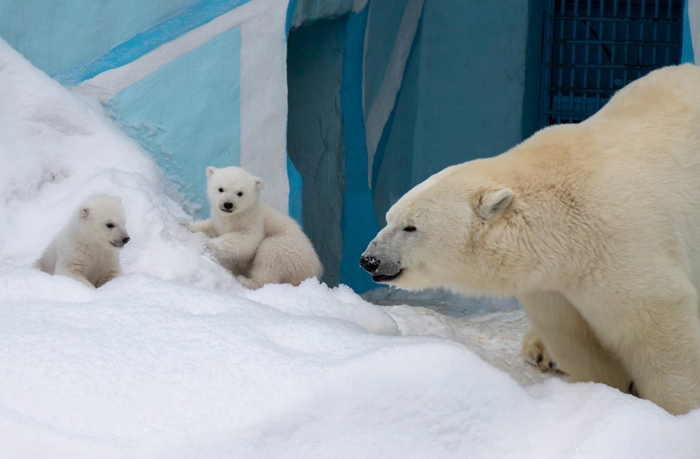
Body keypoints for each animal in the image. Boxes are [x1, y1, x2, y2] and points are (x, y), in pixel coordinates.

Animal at [364, 65, 700, 416]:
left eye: (410, 227)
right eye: (388, 218)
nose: (369, 260)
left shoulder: (620, 243)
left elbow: (657, 323)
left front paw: (680, 411)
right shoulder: (552, 282)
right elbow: (574, 337)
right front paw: (602, 388)